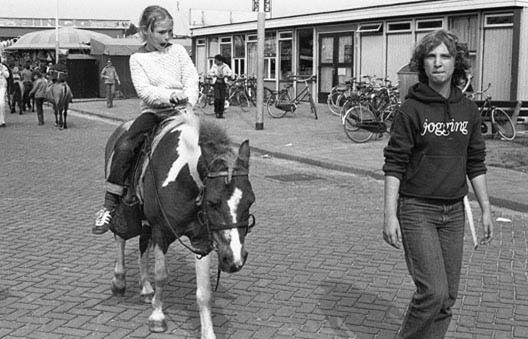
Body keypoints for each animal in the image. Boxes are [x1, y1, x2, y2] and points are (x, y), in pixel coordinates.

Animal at [103, 105, 256, 338]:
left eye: (251, 200)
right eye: (212, 202)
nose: (234, 259)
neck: (184, 180)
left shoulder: (201, 240)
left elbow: (204, 292)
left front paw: (208, 332)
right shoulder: (161, 231)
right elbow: (161, 275)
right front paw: (157, 317)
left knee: (142, 246)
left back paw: (146, 289)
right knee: (120, 238)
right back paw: (119, 282)